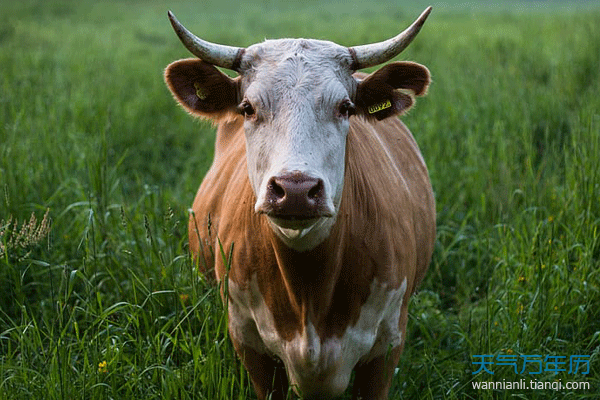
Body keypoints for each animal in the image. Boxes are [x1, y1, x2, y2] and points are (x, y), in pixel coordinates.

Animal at [164, 7, 436, 400]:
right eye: (247, 108)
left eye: (345, 107)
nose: (295, 188)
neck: (309, 294)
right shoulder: (249, 343)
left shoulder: (387, 347)